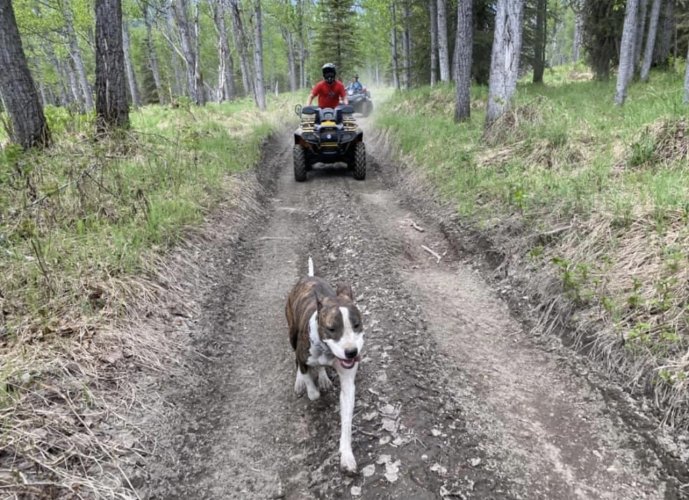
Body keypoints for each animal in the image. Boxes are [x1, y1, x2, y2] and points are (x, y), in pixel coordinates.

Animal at [284, 258, 362, 472]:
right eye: (331, 328)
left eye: (357, 325)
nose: (351, 352)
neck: (327, 351)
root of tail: (308, 277)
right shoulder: (304, 355)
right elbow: (311, 387)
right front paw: (310, 388)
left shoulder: (348, 383)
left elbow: (347, 418)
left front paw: (346, 454)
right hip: (291, 332)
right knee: (296, 360)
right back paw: (301, 382)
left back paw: (324, 378)